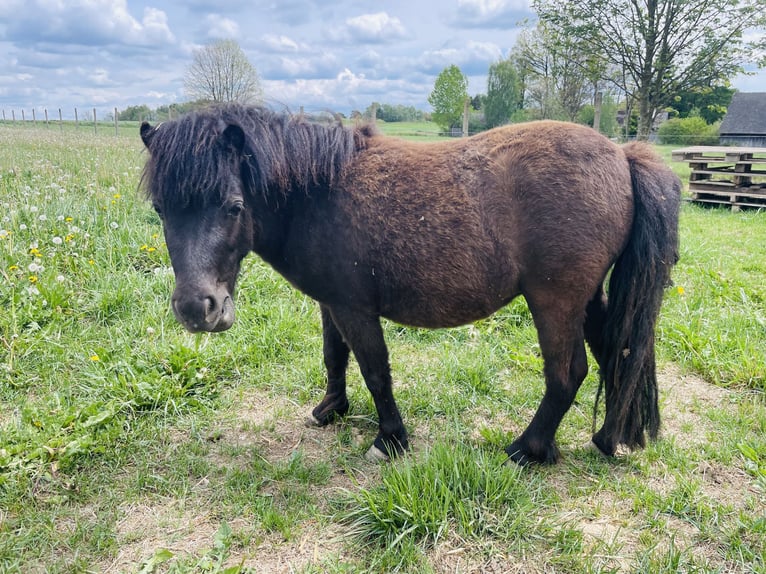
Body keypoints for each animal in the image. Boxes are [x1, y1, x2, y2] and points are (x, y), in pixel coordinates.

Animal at [140, 104, 680, 465]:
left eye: (233, 206)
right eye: (160, 208)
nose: (198, 309)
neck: (318, 193)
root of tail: (621, 155)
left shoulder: (355, 308)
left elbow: (375, 370)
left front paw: (390, 440)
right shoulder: (331, 303)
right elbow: (333, 356)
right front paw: (331, 409)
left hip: (555, 302)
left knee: (568, 374)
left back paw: (528, 449)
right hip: (589, 300)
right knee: (618, 355)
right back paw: (607, 438)